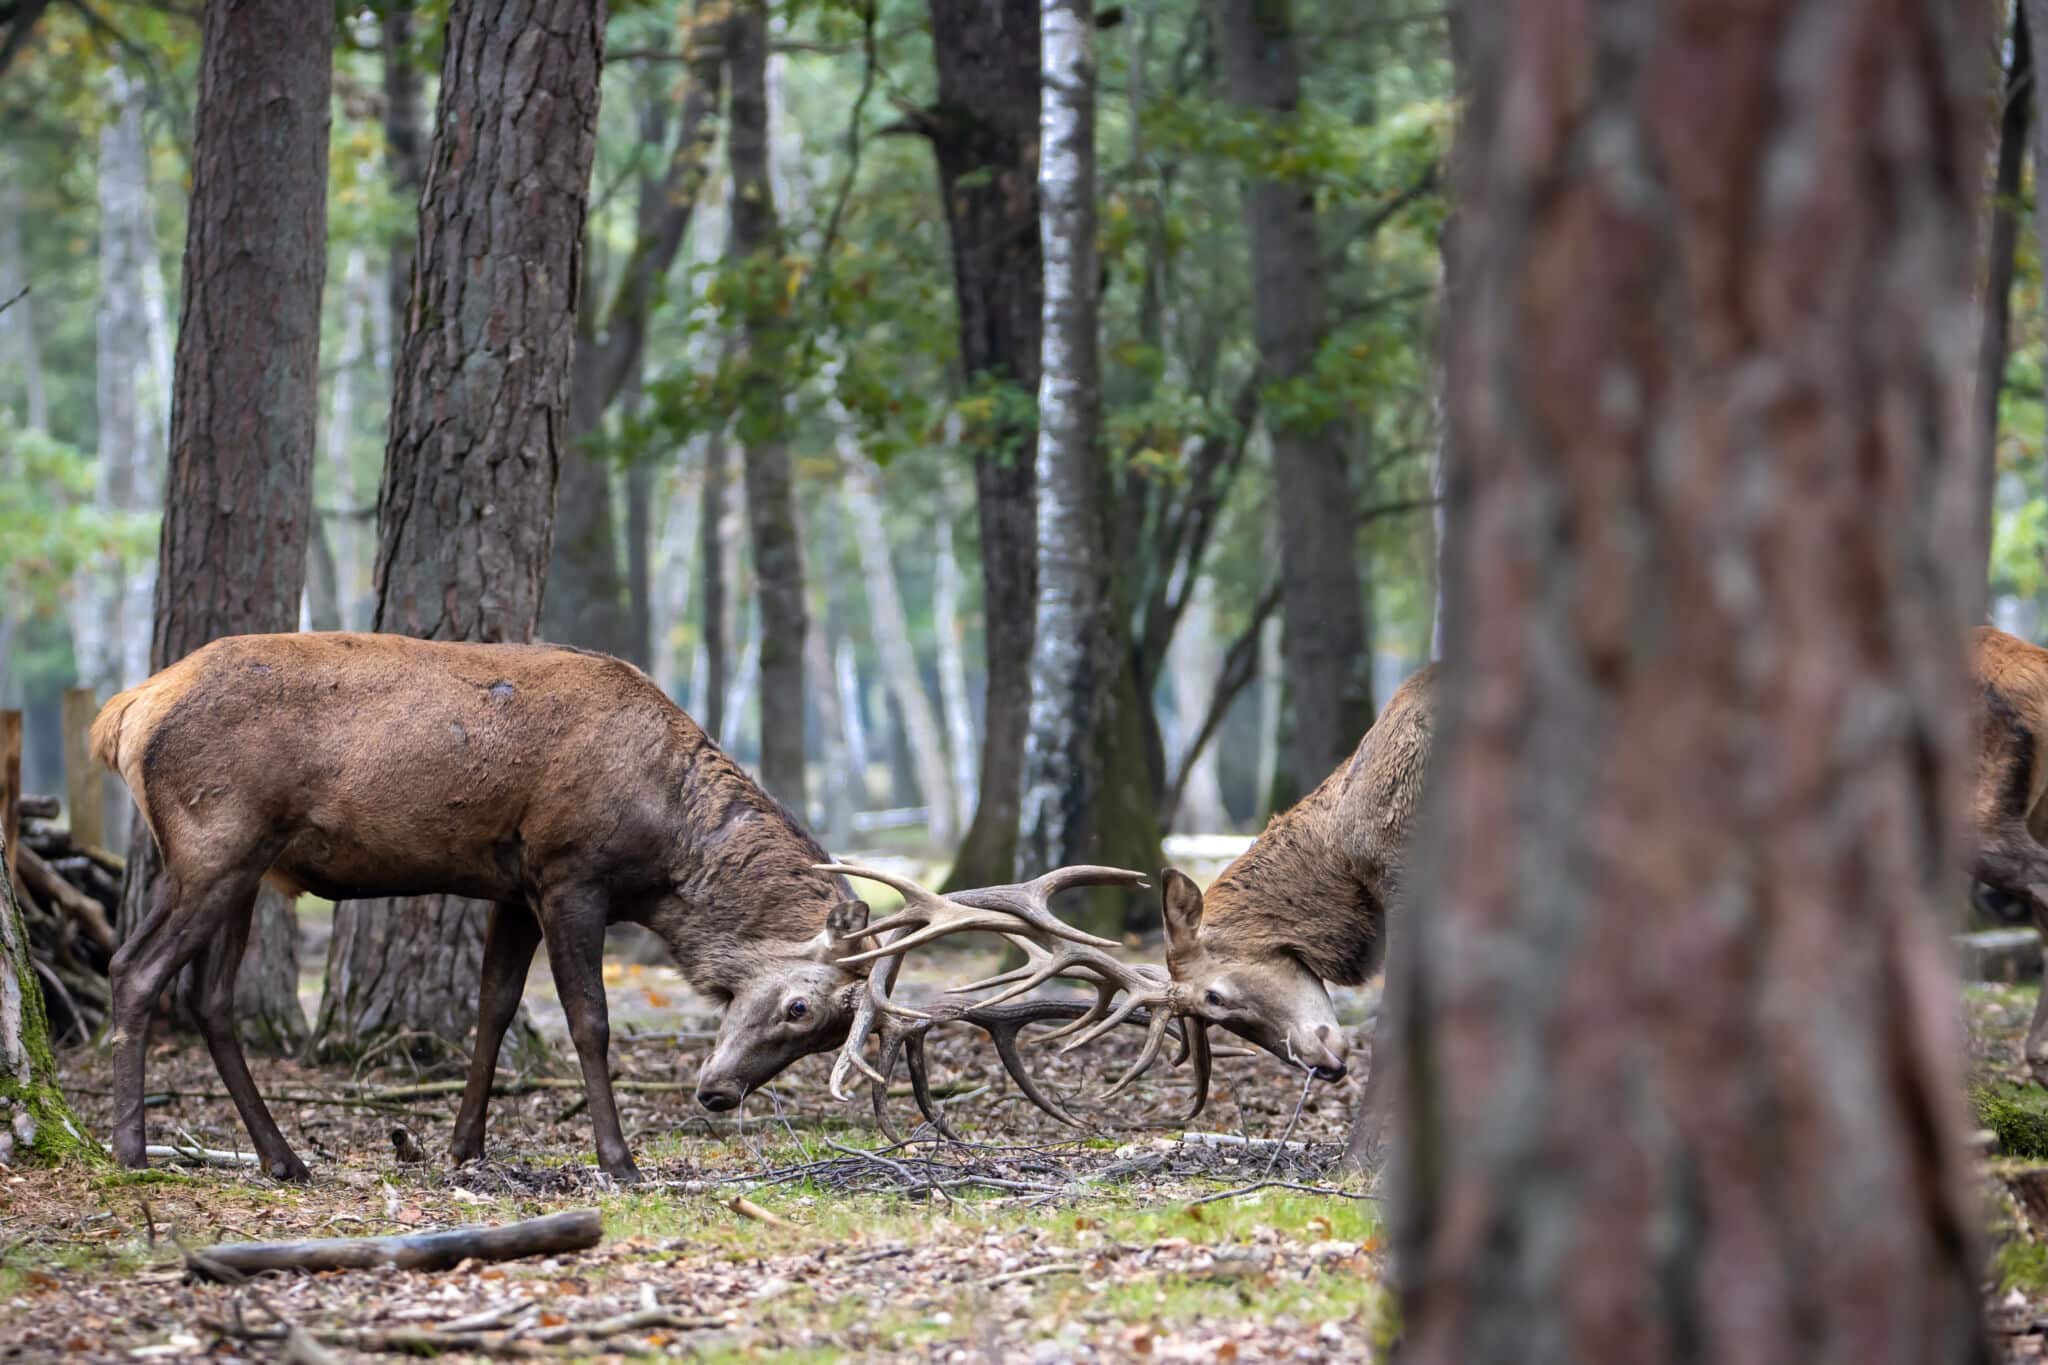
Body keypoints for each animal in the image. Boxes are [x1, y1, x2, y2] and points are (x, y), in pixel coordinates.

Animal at [91, 632, 1134, 1182]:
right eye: (804, 1007)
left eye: (813, 1038)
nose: (717, 1094)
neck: (664, 851)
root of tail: (125, 712)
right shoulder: (568, 870)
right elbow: (586, 1019)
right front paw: (619, 1158)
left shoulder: (511, 885)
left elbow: (493, 1013)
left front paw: (463, 1149)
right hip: (216, 841)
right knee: (134, 967)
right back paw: (135, 1147)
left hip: (244, 866)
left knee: (210, 997)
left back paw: (284, 1158)